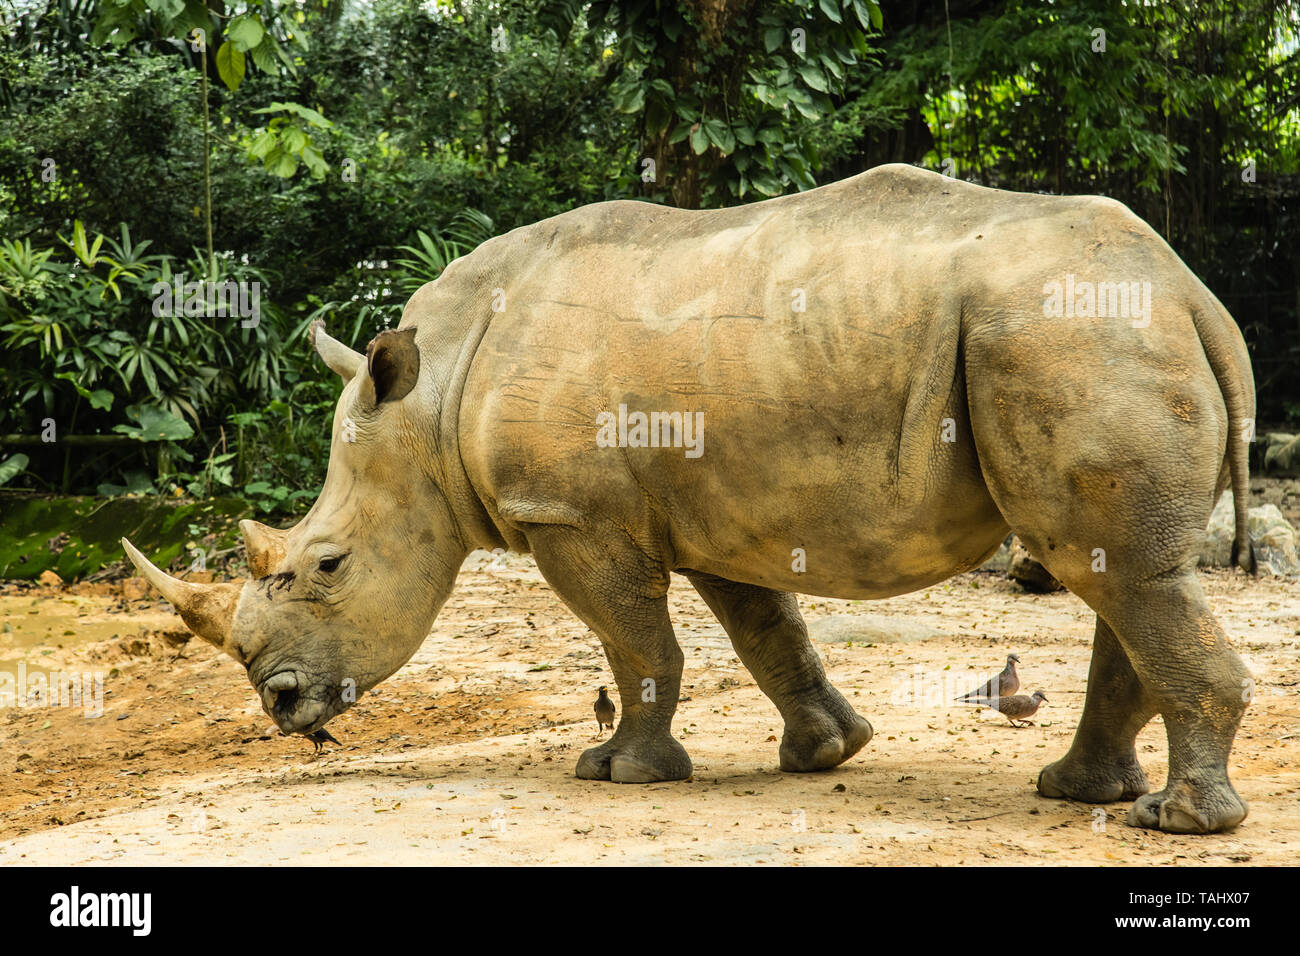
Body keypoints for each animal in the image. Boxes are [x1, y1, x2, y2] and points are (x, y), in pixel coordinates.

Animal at [123, 164, 1257, 834]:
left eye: (326, 565)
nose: (280, 706)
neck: (435, 400)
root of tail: (1192, 293)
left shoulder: (570, 514)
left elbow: (634, 639)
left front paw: (616, 773)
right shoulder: (716, 508)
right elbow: (765, 630)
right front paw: (824, 753)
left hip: (1068, 335)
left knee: (1108, 566)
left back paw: (1179, 822)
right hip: (1082, 335)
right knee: (1119, 569)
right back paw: (1083, 794)